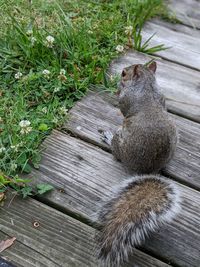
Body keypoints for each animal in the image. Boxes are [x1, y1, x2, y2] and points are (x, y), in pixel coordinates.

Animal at [95, 61, 181, 267]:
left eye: (124, 73)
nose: (119, 77)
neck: (147, 85)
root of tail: (149, 170)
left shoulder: (128, 100)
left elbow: (122, 106)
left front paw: (117, 92)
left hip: (121, 141)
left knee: (116, 151)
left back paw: (108, 138)